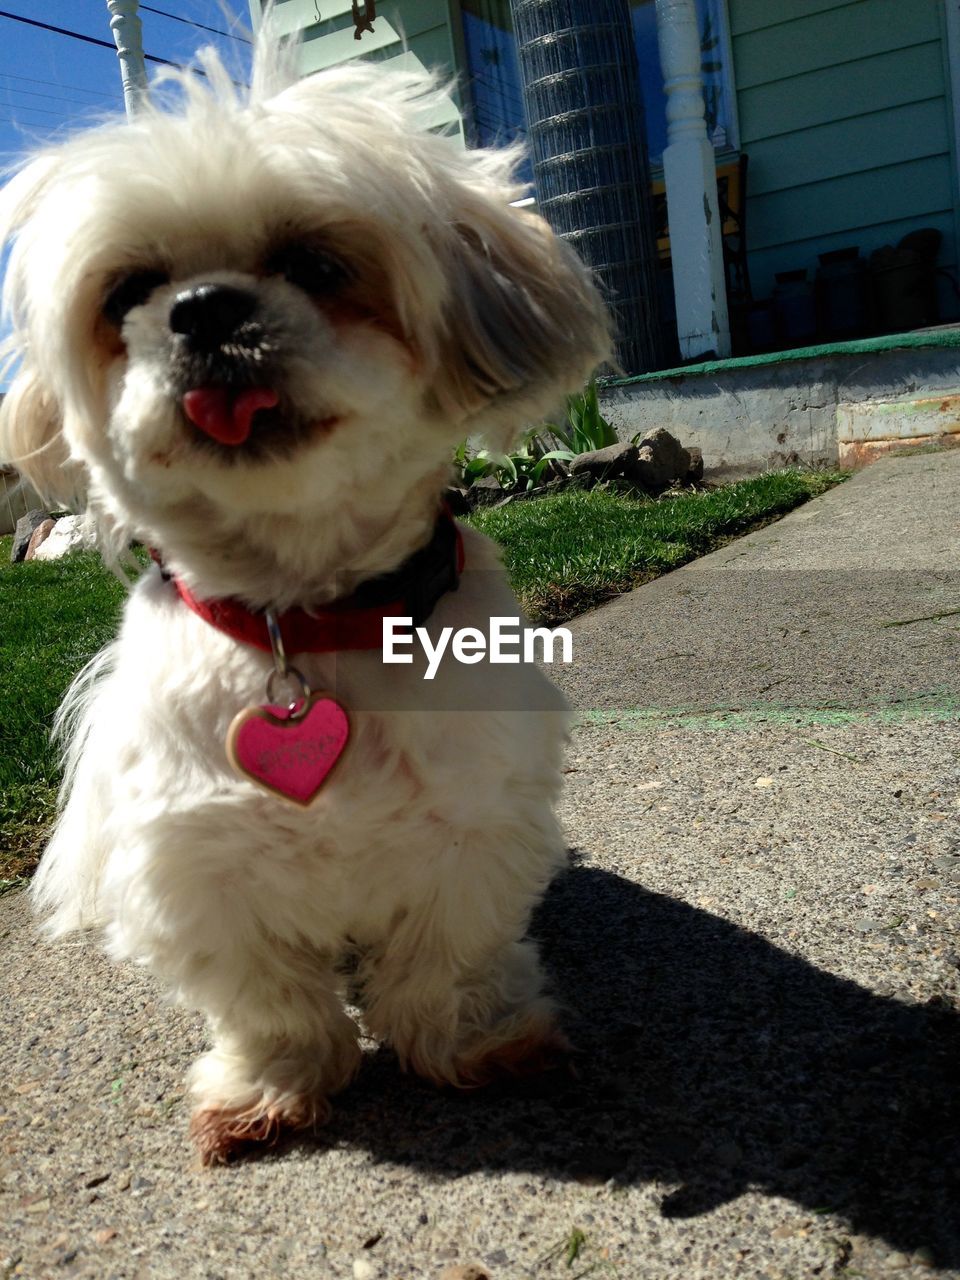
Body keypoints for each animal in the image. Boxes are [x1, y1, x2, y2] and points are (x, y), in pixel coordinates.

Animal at [1, 42, 609, 1162]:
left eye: (320, 265)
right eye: (129, 290)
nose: (203, 306)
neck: (305, 616)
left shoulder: (468, 830)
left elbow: (447, 961)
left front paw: (475, 1040)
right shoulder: (202, 866)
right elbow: (267, 999)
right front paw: (270, 1085)